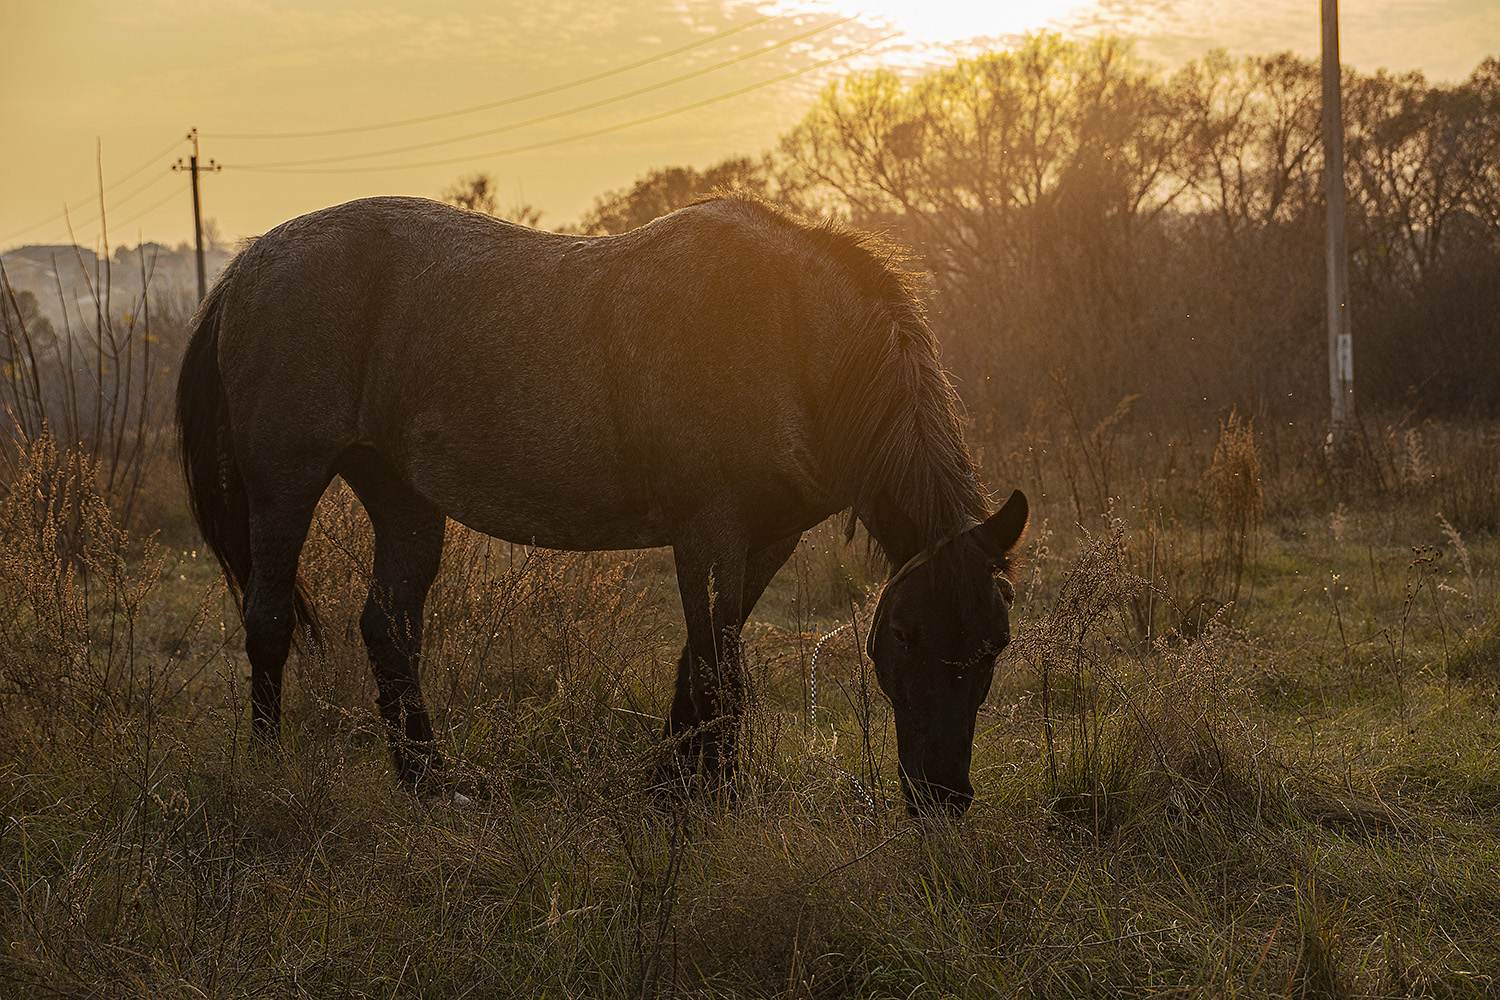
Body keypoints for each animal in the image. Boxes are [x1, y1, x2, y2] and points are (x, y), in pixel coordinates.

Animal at [172, 197, 1020, 821]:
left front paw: (671, 789)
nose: (943, 800)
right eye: (901, 635)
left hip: (402, 499)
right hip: (285, 487)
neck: (785, 332)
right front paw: (717, 802)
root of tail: (248, 266)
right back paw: (270, 772)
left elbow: (702, 660)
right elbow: (719, 671)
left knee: (389, 628)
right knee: (269, 620)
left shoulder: (764, 540)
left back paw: (430, 783)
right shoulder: (707, 531)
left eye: (993, 645)